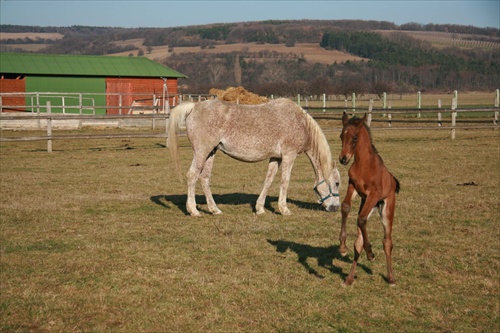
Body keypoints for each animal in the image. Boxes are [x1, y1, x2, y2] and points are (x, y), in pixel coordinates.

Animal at [168, 97, 340, 215]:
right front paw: (284, 209)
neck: (300, 122)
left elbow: (268, 181)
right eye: (337, 183)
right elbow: (285, 181)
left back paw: (214, 209)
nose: (335, 207)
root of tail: (195, 106)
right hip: (202, 151)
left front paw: (260, 208)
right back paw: (193, 210)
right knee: (192, 175)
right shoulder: (289, 155)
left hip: (211, 152)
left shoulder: (276, 157)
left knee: (204, 178)